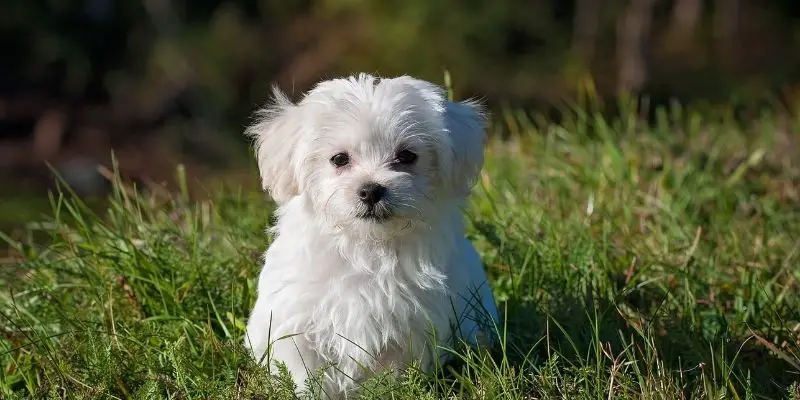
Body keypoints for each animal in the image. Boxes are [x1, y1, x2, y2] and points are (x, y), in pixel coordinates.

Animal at [244, 74, 496, 396]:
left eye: (406, 156)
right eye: (339, 159)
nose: (371, 190)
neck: (366, 246)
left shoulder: (409, 328)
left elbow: (393, 374)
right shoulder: (296, 322)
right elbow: (305, 373)